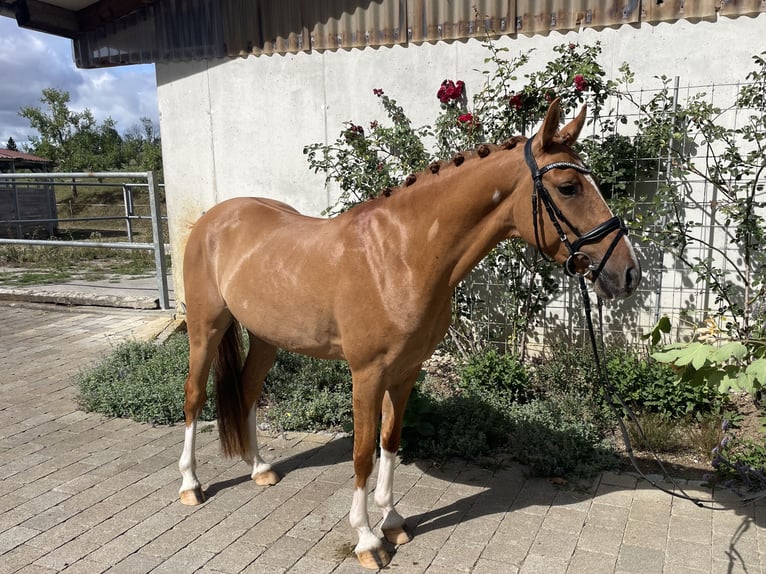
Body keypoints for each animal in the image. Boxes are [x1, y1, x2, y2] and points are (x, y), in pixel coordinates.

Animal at [177, 99, 641, 569]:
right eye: (568, 187)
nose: (628, 273)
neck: (400, 256)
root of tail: (214, 218)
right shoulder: (366, 375)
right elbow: (363, 453)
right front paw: (367, 539)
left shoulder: (405, 370)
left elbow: (389, 441)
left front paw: (393, 520)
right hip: (205, 329)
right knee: (194, 395)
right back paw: (190, 485)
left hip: (266, 339)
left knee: (249, 392)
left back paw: (259, 468)